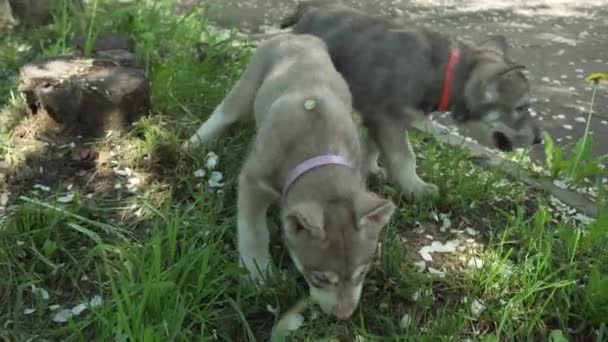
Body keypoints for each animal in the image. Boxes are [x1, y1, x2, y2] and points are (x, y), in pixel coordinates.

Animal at [183, 33, 396, 320]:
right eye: (320, 278)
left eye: (361, 273)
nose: (343, 315)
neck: (318, 149)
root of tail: (297, 36)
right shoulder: (252, 180)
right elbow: (254, 231)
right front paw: (257, 273)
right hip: (248, 84)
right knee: (224, 112)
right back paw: (193, 143)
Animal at [280, 0, 540, 200]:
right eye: (520, 107)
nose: (538, 139)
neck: (444, 73)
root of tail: (308, 9)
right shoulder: (388, 119)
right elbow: (406, 156)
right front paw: (415, 189)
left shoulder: (381, 118)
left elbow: (373, 147)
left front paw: (372, 169)